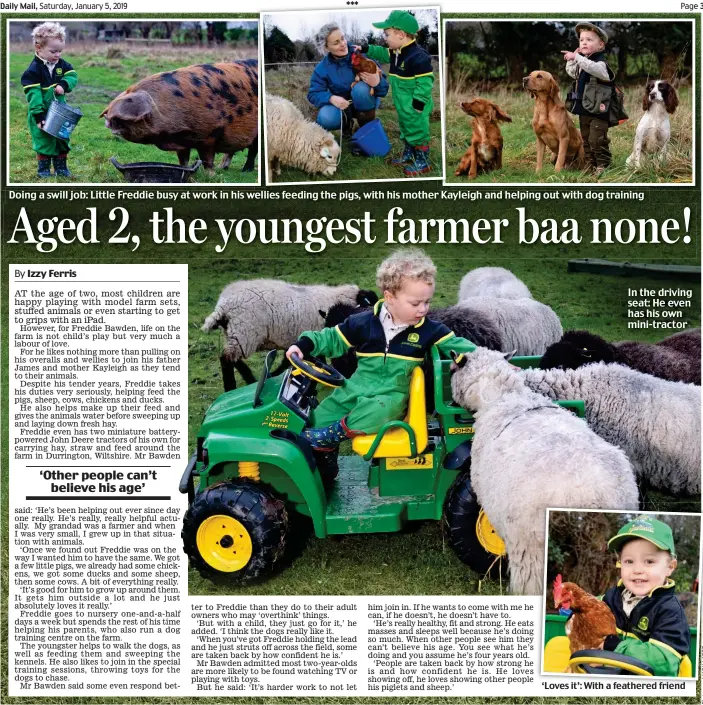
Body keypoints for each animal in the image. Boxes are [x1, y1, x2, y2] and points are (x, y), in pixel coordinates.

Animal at [102, 59, 258, 170]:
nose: (107, 120)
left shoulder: (210, 136)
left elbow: (207, 159)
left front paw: (210, 174)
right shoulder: (182, 143)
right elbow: (183, 159)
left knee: (253, 151)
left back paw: (246, 170)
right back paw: (223, 168)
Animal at [202, 280, 380, 390]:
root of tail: (222, 306)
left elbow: (289, 359)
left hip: (234, 335)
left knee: (232, 359)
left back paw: (249, 379)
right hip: (244, 334)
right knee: (227, 359)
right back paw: (232, 386)